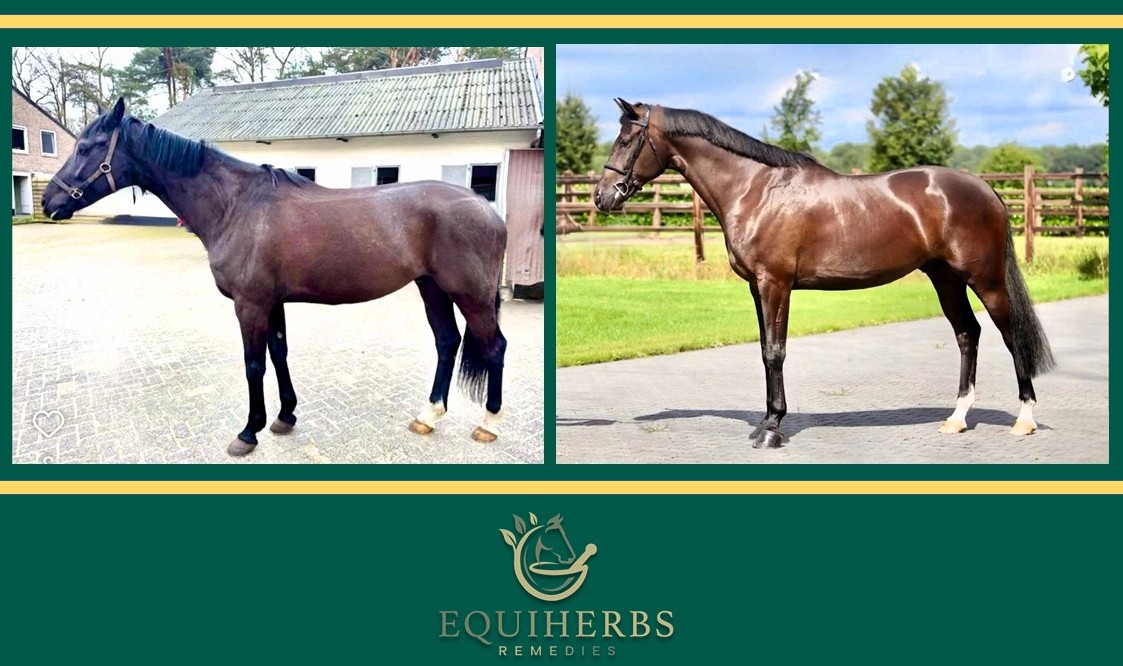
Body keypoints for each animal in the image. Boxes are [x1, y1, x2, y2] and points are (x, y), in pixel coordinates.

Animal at [43, 98, 509, 457]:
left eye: (86, 147)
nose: (49, 201)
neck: (236, 205)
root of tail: (486, 208)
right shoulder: (273, 302)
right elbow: (280, 354)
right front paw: (285, 416)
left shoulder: (249, 304)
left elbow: (254, 364)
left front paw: (248, 431)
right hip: (432, 288)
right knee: (447, 342)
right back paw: (428, 416)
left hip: (471, 295)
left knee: (495, 348)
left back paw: (489, 424)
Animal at [594, 99, 1054, 449]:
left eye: (626, 140)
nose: (602, 197)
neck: (756, 188)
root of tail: (985, 188)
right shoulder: (757, 288)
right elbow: (764, 351)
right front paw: (765, 423)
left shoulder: (775, 284)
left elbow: (774, 352)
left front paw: (772, 429)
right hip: (945, 278)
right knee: (967, 333)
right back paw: (957, 418)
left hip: (986, 280)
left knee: (1010, 334)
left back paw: (1024, 419)